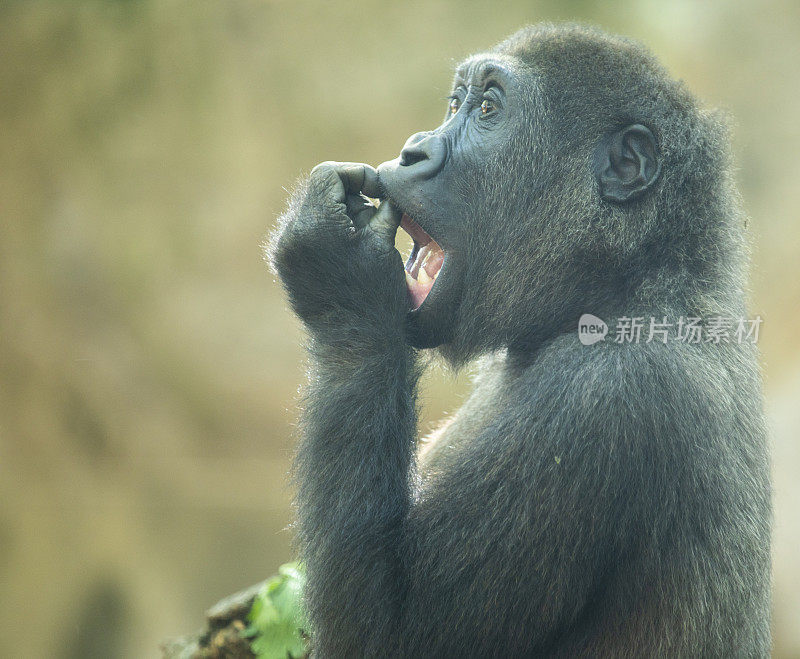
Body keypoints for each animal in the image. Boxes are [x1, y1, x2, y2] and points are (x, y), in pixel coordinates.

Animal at [270, 23, 776, 659]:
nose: (412, 151)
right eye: (454, 103)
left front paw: (340, 271)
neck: (633, 276)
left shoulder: (611, 393)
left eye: (488, 109)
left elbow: (387, 630)